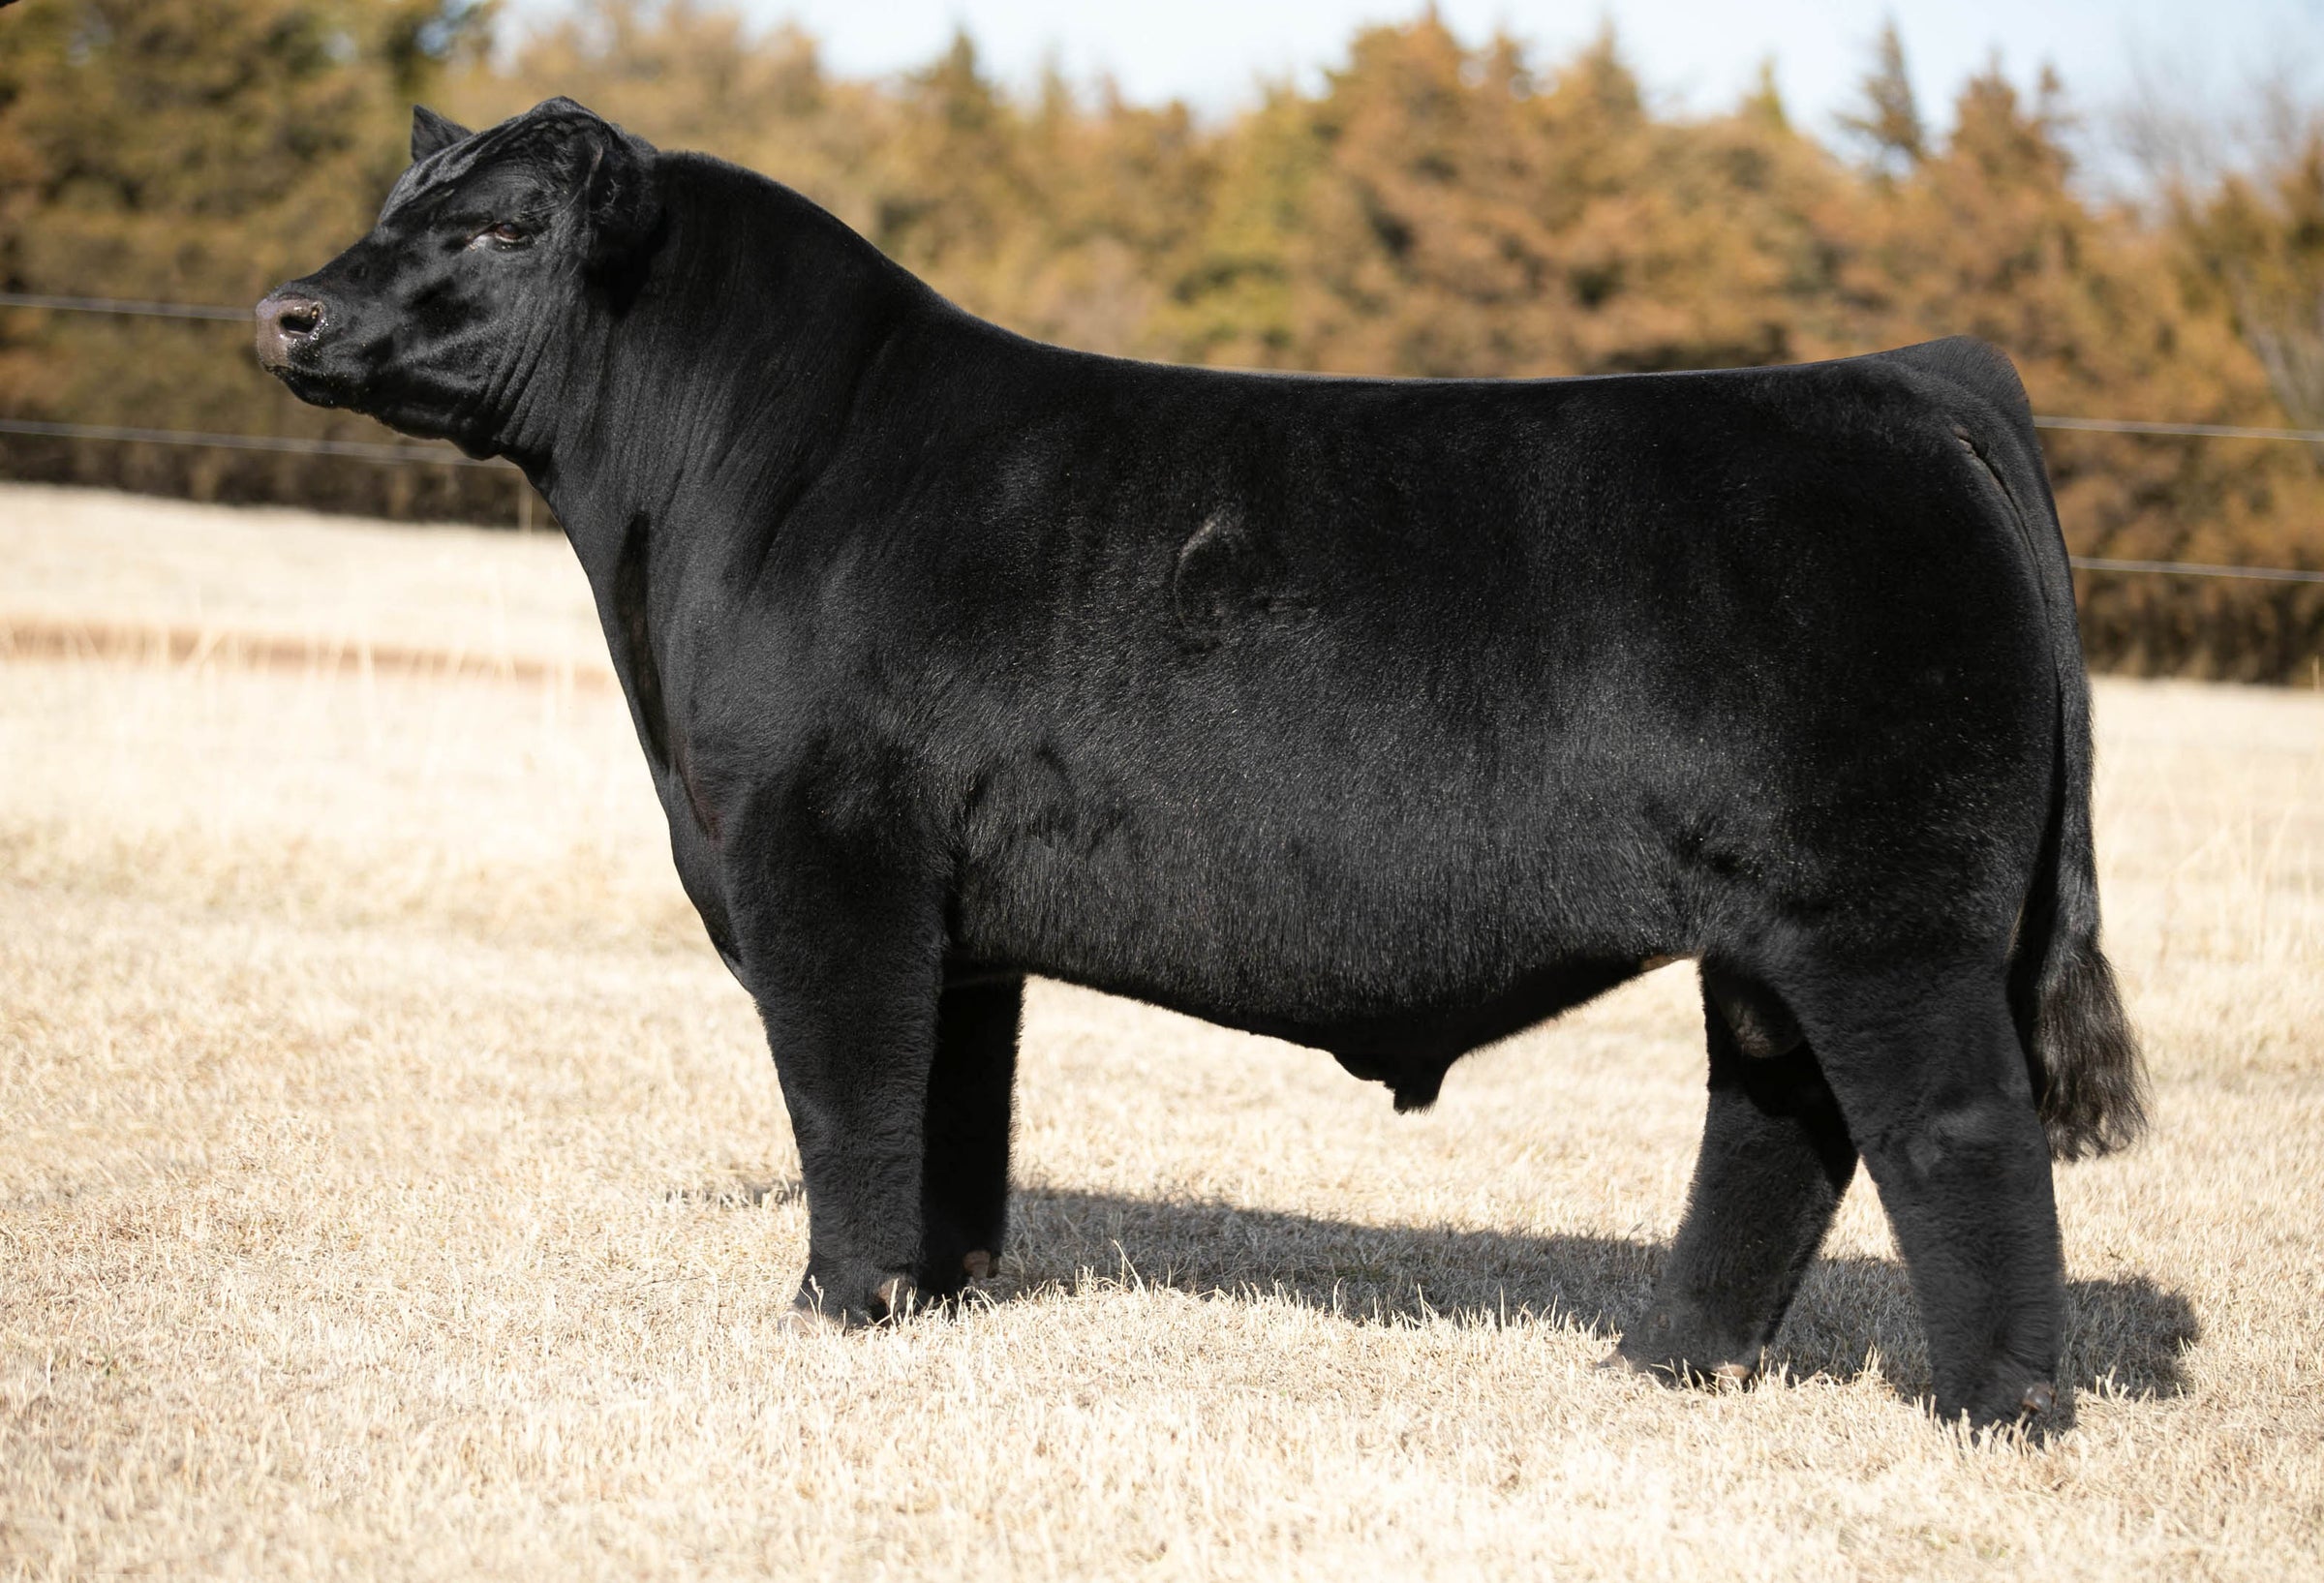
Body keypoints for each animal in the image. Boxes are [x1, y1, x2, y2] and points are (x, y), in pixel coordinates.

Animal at [255, 98, 2146, 1429]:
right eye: (393, 212)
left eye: (502, 226)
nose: (289, 310)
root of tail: (1900, 382)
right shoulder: (959, 915)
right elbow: (953, 1108)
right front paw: (939, 1292)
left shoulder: (825, 857)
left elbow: (846, 1088)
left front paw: (835, 1301)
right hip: (1768, 935)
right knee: (1777, 1124)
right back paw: (1667, 1359)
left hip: (1886, 919)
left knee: (1958, 1133)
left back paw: (1996, 1409)